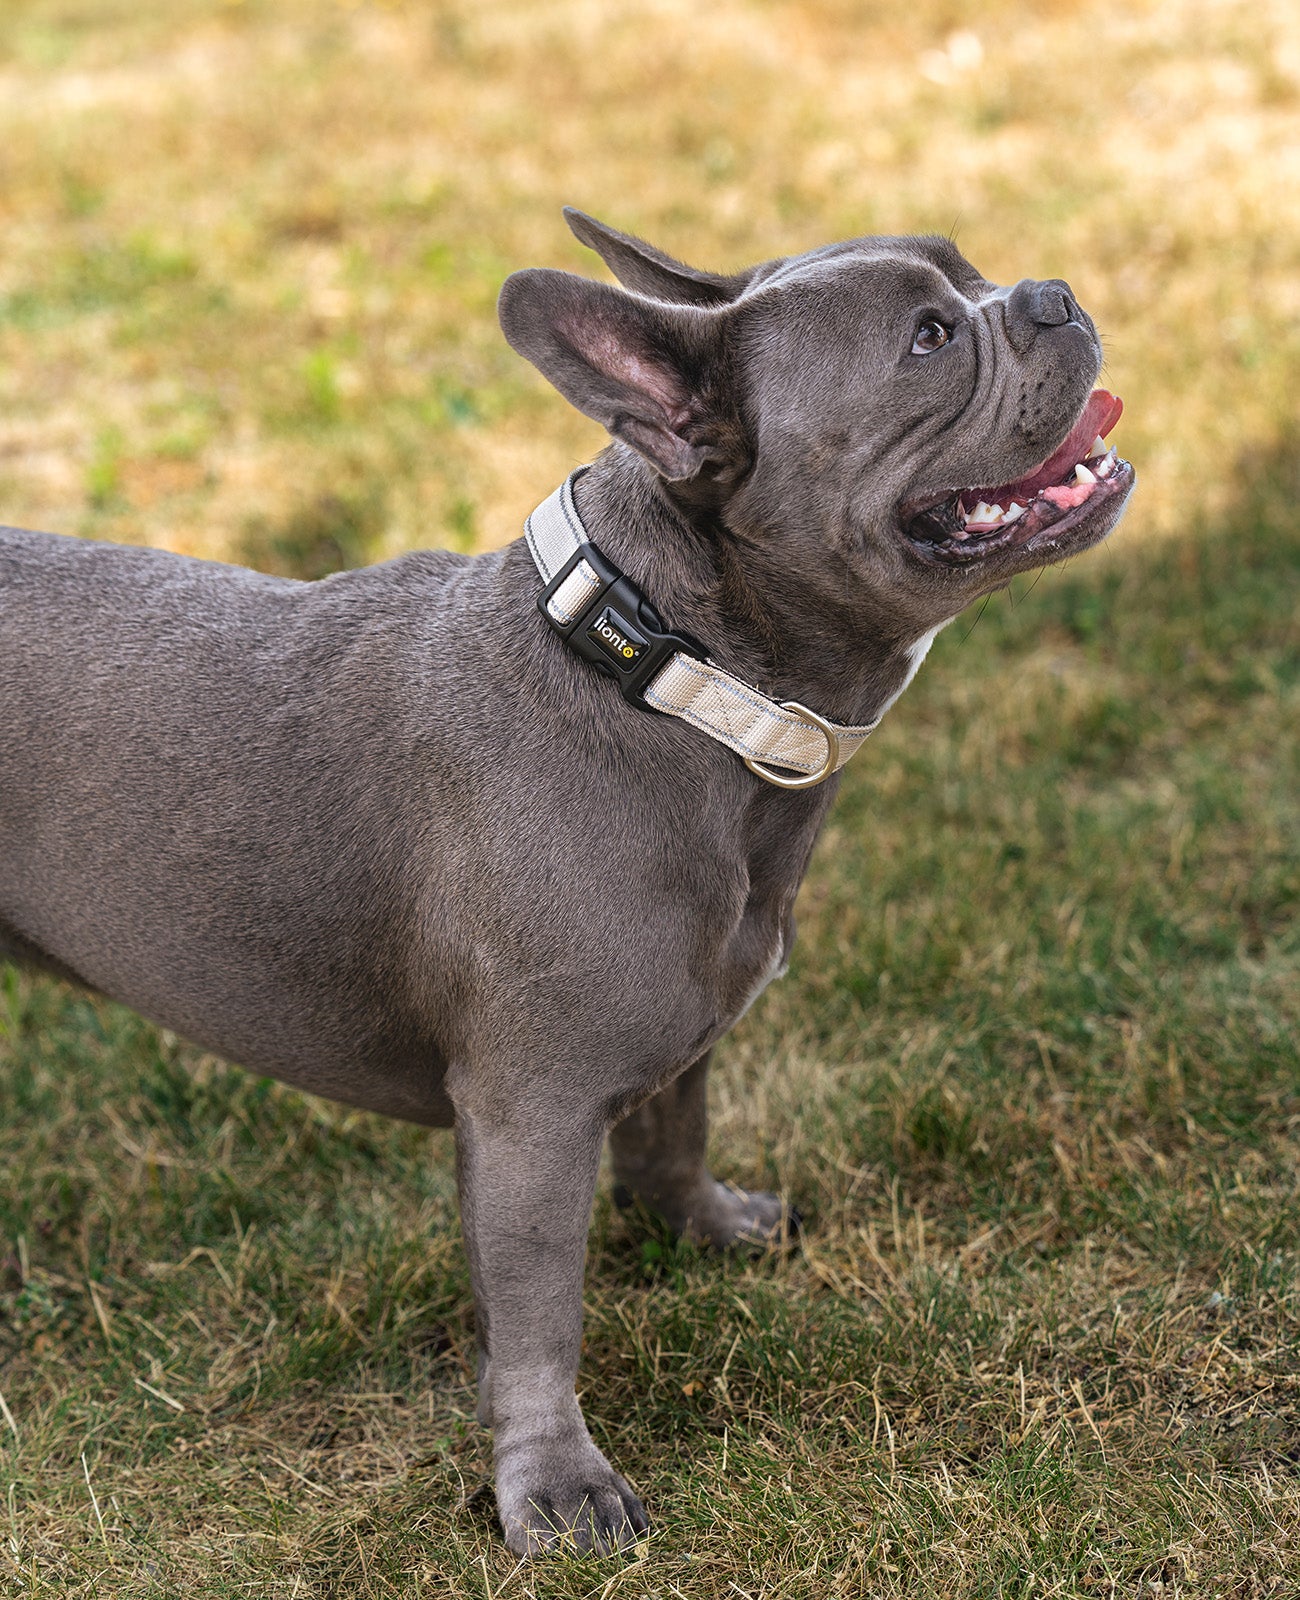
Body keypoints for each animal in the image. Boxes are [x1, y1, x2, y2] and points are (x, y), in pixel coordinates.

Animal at [0, 209, 1133, 1548]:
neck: (675, 669)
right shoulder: (529, 1119)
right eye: (927, 336)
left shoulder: (677, 1031)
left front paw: (706, 1226)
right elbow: (540, 1312)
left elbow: (674, 1128)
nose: (1051, 292)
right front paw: (554, 1484)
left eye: (967, 271)